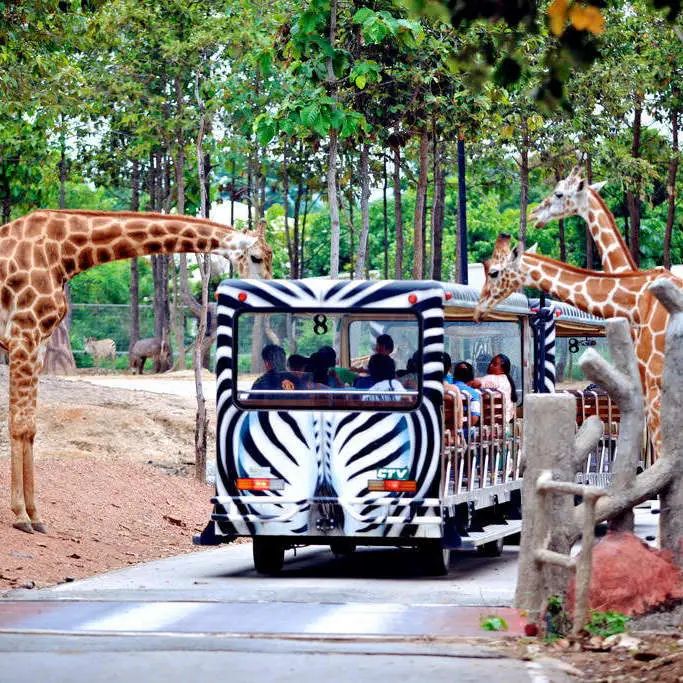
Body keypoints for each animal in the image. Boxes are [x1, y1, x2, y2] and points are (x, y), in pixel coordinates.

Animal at [0, 208, 272, 536]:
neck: (64, 252)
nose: (270, 293)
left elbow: (30, 427)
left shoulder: (37, 341)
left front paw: (34, 514)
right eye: (256, 257)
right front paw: (21, 515)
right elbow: (20, 425)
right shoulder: (22, 335)